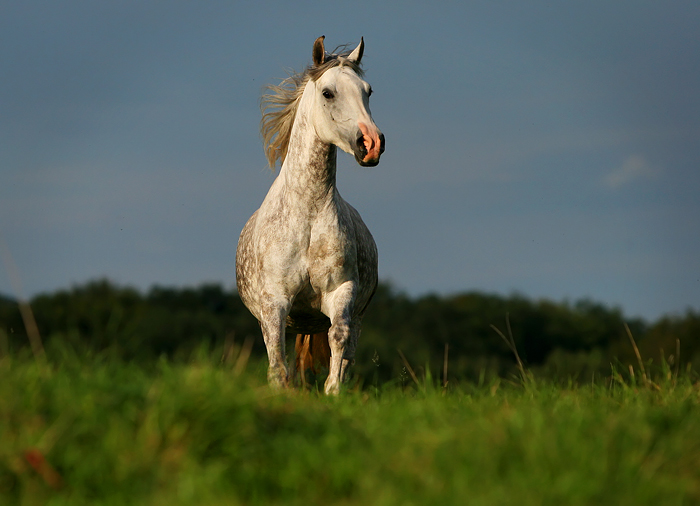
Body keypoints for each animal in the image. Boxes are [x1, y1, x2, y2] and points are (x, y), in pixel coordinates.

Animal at [238, 36, 386, 396]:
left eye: (368, 91)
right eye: (328, 93)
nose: (372, 143)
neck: (308, 212)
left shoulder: (341, 291)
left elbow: (338, 340)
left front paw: (333, 392)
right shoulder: (275, 302)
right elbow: (277, 361)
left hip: (353, 318)